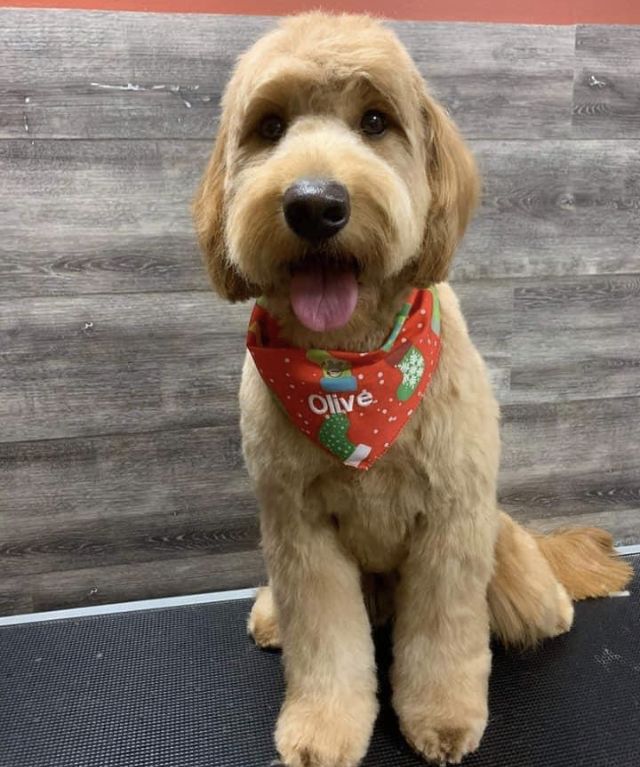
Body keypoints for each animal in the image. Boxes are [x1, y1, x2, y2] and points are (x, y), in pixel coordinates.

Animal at [194, 13, 632, 767]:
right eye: (269, 127)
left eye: (375, 121)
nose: (315, 204)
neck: (351, 369)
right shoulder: (298, 530)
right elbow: (324, 640)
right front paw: (324, 727)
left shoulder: (451, 522)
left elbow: (444, 636)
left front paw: (444, 719)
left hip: (500, 544)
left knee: (541, 606)